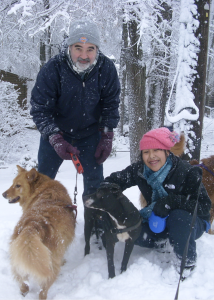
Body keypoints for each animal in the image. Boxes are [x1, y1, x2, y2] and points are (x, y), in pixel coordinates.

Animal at [1, 166, 76, 300]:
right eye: (13, 184)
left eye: (17, 185)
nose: (3, 194)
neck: (40, 188)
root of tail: (34, 225)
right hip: (50, 264)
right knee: (43, 290)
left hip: (19, 256)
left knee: (23, 281)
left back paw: (23, 292)